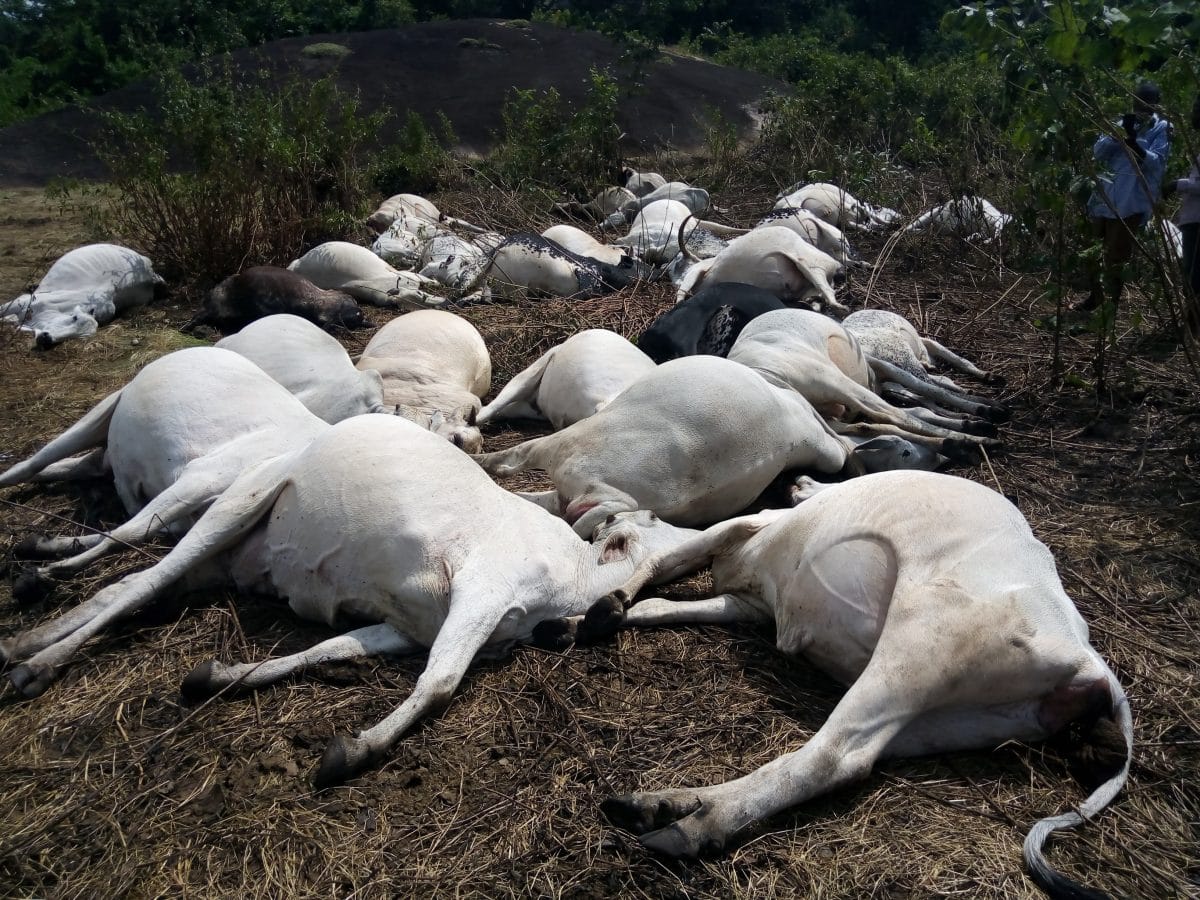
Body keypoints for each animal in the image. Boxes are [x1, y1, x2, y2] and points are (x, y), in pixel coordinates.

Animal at [0, 414, 704, 794]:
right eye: (635, 536)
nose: (613, 607)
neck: (568, 573)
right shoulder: (482, 589)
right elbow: (441, 682)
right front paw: (353, 752)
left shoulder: (408, 625)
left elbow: (325, 649)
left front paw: (220, 675)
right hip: (237, 505)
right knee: (144, 579)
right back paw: (35, 663)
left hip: (223, 560)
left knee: (129, 585)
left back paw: (27, 638)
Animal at [558, 470, 1131, 900]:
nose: (797, 481)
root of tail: (1089, 663)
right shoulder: (749, 603)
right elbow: (658, 603)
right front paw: (573, 623)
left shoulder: (746, 525)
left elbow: (659, 566)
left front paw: (600, 609)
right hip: (946, 717)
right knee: (857, 757)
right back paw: (664, 805)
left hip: (919, 646)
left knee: (830, 757)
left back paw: (688, 826)